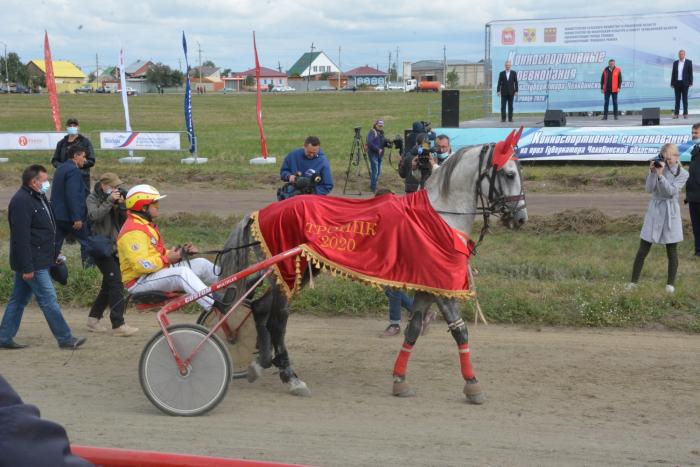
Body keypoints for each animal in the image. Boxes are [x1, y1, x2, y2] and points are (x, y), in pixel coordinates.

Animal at [217, 130, 524, 404]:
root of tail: (261, 213)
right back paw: (290, 376)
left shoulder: (426, 287)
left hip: (287, 273)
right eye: (509, 174)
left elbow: (413, 329)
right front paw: (472, 385)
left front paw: (400, 380)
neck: (438, 217)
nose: (520, 218)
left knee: (261, 309)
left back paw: (263, 362)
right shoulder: (442, 287)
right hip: (291, 270)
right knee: (277, 319)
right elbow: (460, 331)